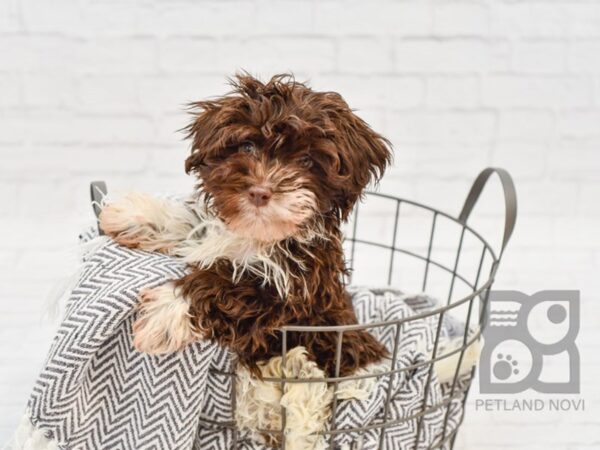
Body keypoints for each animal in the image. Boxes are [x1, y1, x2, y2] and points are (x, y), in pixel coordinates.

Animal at [101, 74, 392, 376]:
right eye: (247, 147)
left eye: (306, 161)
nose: (259, 192)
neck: (257, 234)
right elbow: (194, 226)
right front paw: (134, 215)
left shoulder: (290, 293)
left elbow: (223, 285)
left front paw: (165, 313)